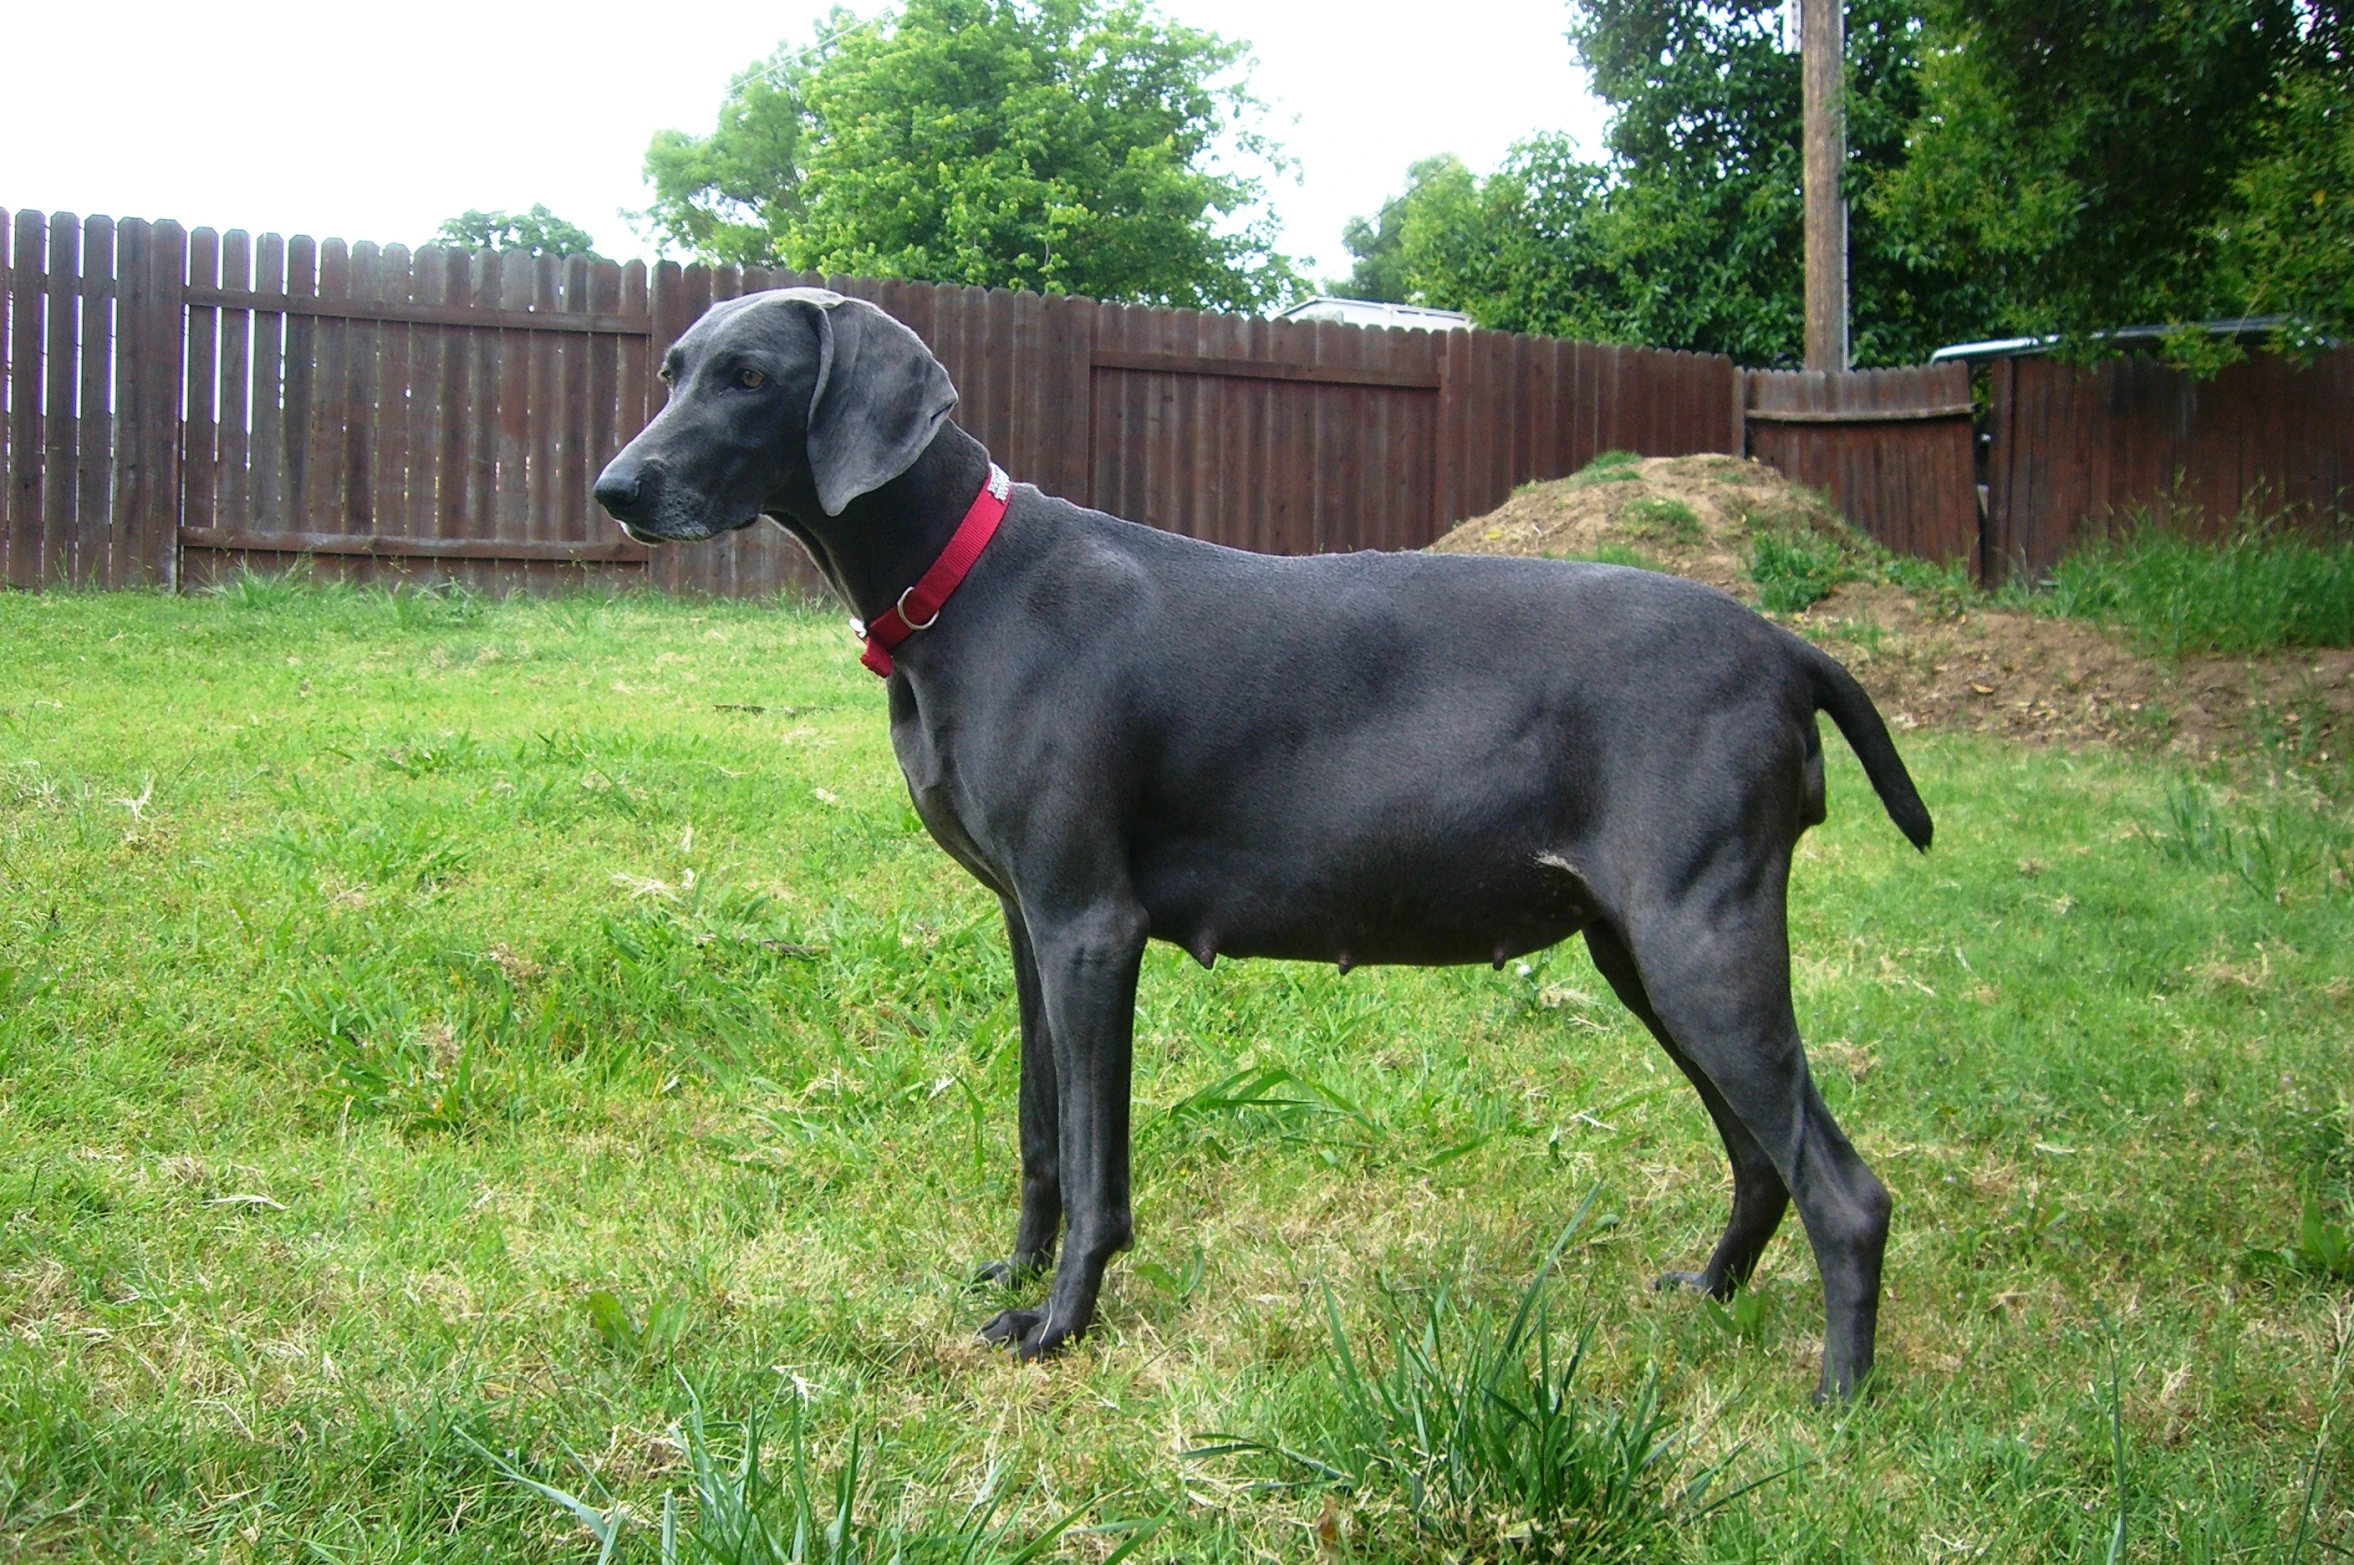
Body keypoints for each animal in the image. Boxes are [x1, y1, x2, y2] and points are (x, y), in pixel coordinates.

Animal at [593, 287, 1930, 1393]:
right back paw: (1706, 1294)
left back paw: (1836, 1397)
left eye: (751, 377)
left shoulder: (1091, 928)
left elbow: (1095, 1160)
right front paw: (1012, 1274)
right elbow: (1038, 1131)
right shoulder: (1028, 924)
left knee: (1844, 1189)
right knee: (1761, 1158)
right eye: (671, 369)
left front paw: (1059, 1321)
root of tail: (1786, 647)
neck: (966, 584)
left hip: (1698, 942)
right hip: (1639, 949)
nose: (613, 489)